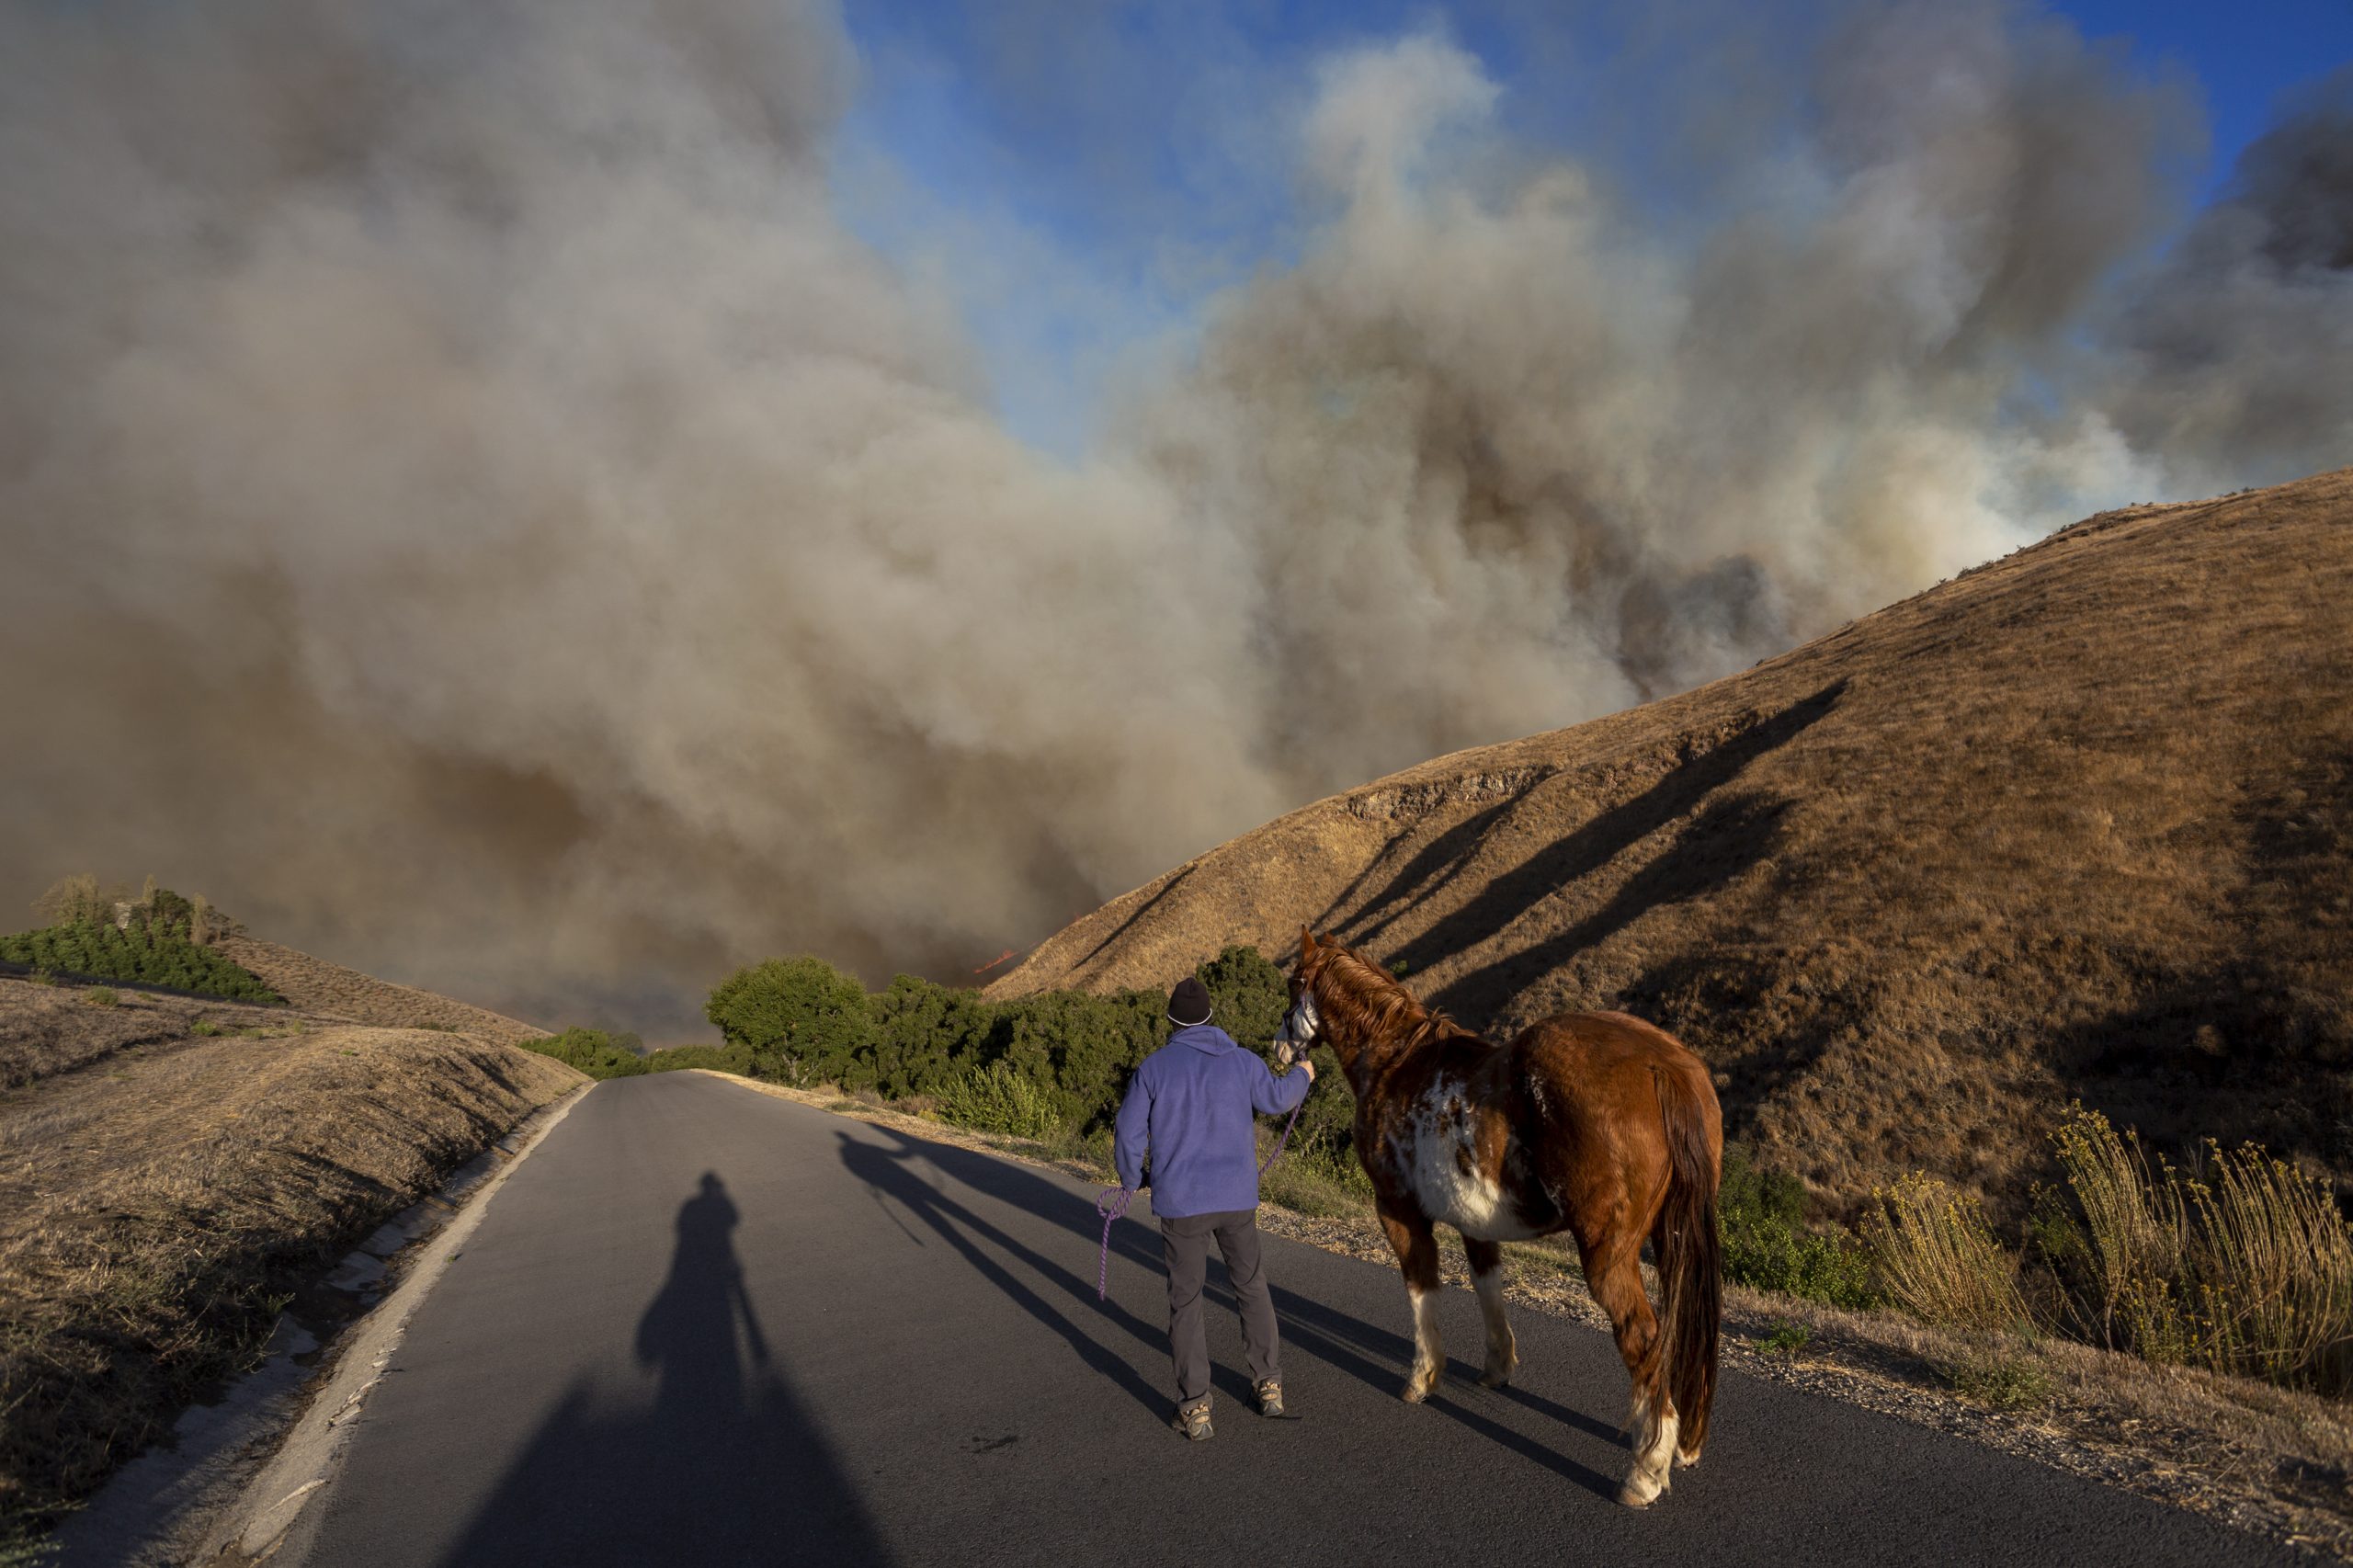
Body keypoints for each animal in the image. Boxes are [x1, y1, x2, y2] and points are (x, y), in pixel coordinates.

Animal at [1279, 927, 1722, 1506]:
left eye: (1294, 982)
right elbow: (1487, 1284)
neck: (1397, 1063)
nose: (1281, 1046)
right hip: (1674, 1241)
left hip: (1608, 1255)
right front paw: (1497, 1368)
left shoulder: (1397, 1210)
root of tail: (1662, 1064)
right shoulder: (1475, 1219)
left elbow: (1421, 1288)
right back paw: (1681, 1446)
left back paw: (1645, 1473)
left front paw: (1422, 1378)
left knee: (1643, 1338)